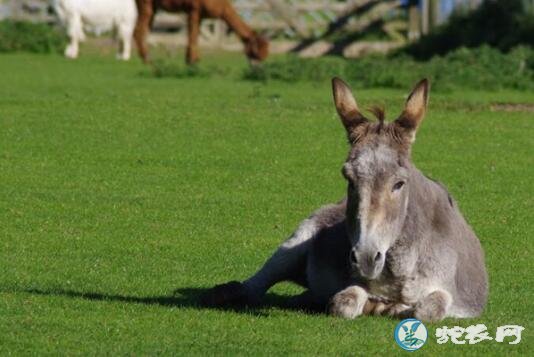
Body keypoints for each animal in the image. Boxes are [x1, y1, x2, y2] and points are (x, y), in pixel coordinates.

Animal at [134, 0, 268, 63]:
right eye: (258, 51)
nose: (260, 63)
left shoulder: (200, 15)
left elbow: (195, 35)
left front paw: (193, 60)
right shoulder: (194, 9)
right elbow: (192, 35)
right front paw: (191, 61)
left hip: (153, 7)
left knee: (144, 31)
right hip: (146, 4)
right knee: (138, 31)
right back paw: (148, 61)